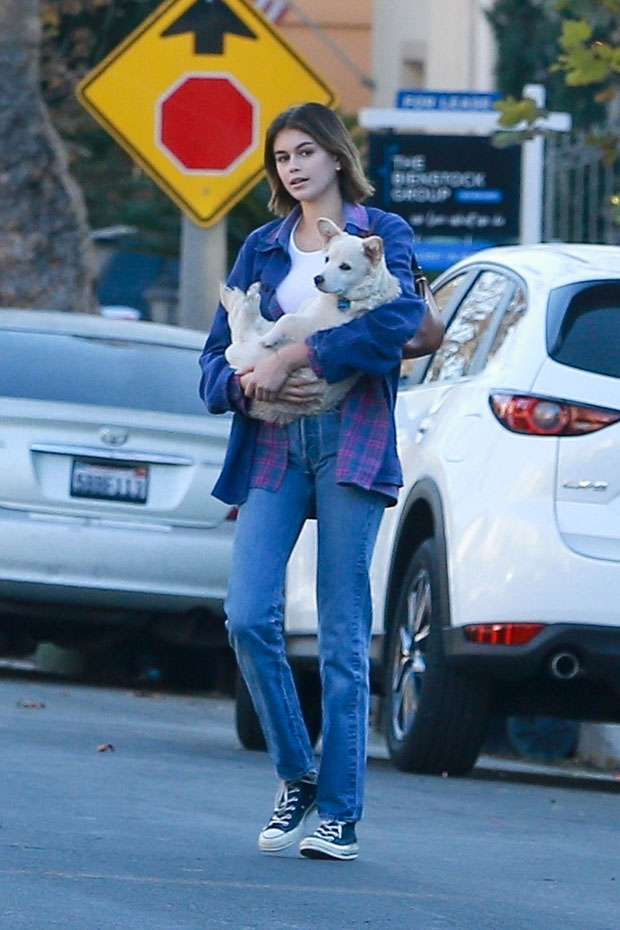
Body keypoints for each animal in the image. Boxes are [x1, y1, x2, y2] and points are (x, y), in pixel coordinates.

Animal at [222, 216, 402, 422]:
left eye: (345, 267)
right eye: (327, 259)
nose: (317, 279)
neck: (346, 298)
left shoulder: (310, 327)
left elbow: (287, 320)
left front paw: (269, 338)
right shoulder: (306, 310)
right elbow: (287, 317)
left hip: (250, 352)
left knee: (241, 329)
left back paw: (252, 301)